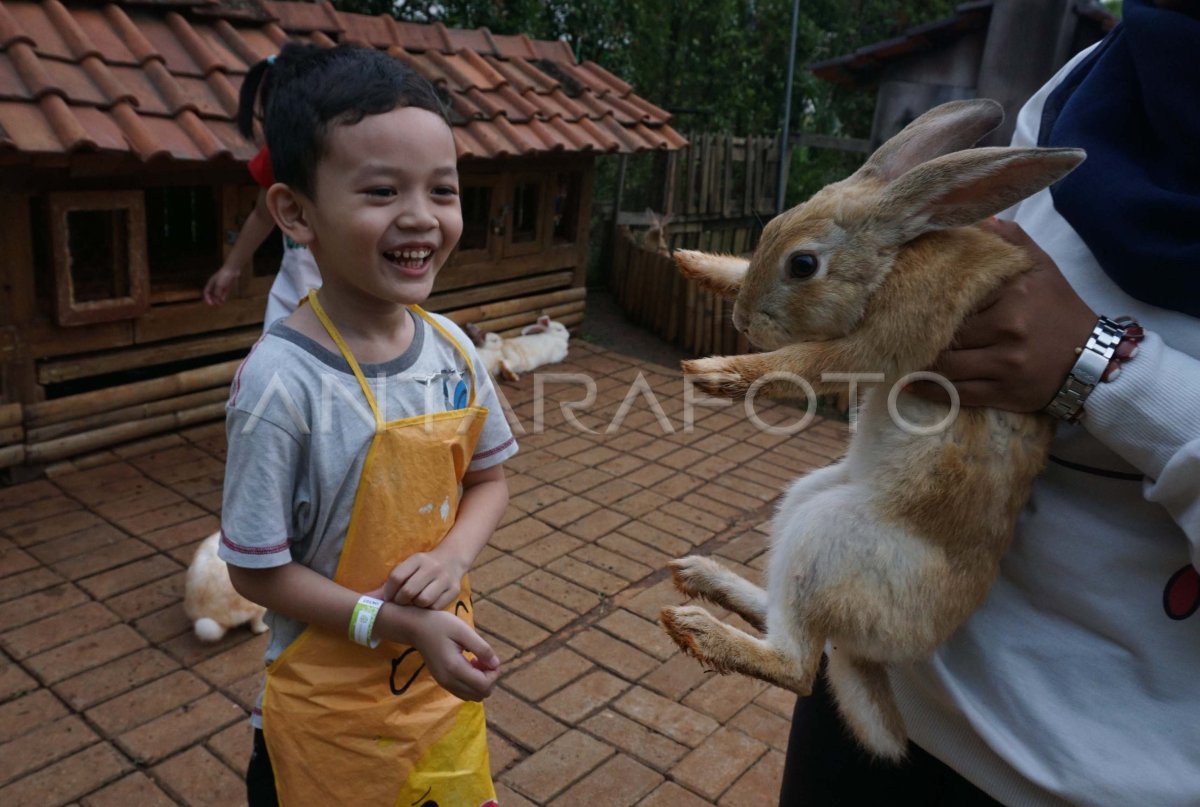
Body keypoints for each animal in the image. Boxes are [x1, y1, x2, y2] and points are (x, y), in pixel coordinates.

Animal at [662, 97, 1084, 758]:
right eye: (768, 231)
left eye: (803, 265)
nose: (742, 322)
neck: (894, 256)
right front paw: (696, 262)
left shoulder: (877, 343)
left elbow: (799, 363)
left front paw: (715, 372)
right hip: (803, 504)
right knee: (781, 617)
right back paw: (702, 576)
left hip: (825, 537)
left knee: (799, 667)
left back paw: (696, 626)